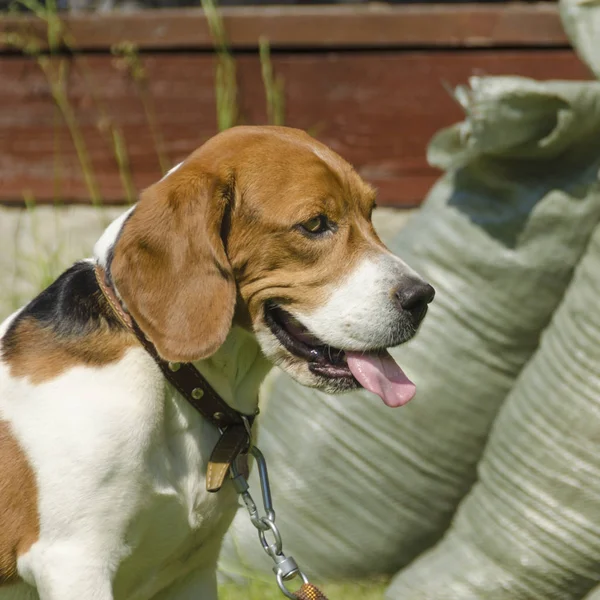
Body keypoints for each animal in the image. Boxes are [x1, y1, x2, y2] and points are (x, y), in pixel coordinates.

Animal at [0, 126, 434, 600]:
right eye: (315, 224)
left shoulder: (193, 572)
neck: (168, 377)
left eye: (371, 212)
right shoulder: (76, 563)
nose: (423, 297)